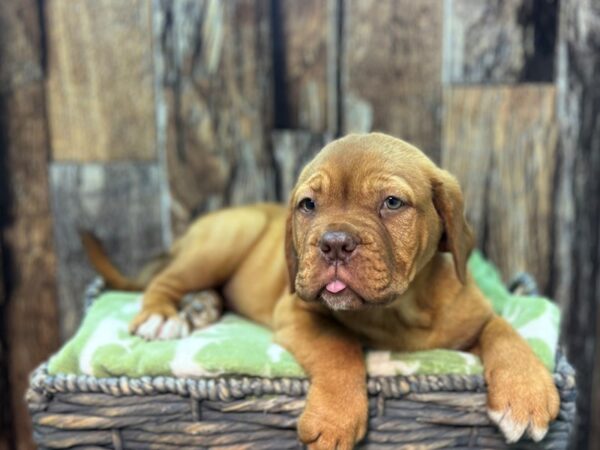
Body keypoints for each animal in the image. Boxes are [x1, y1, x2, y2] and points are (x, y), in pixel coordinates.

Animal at [88, 133, 556, 446]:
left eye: (392, 203)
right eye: (308, 205)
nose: (333, 243)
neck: (397, 309)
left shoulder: (475, 315)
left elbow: (505, 333)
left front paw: (527, 393)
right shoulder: (297, 312)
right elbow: (339, 347)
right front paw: (336, 420)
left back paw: (201, 308)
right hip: (223, 241)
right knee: (165, 281)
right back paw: (162, 317)